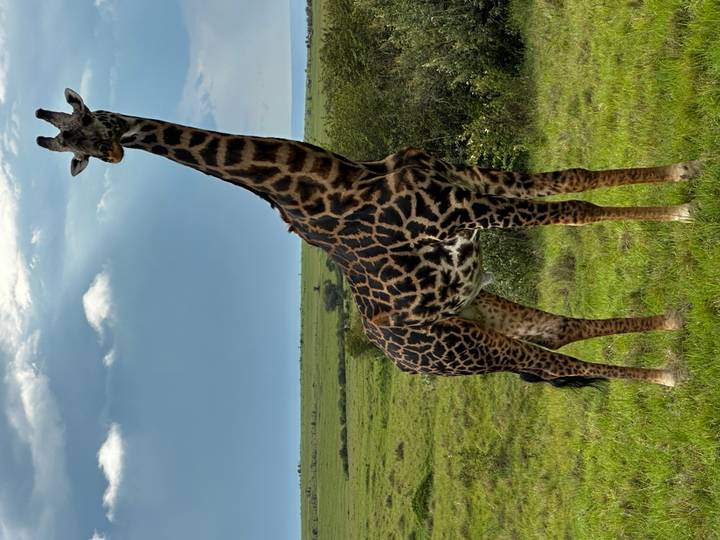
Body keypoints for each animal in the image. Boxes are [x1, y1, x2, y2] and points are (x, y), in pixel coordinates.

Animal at [37, 88, 703, 387]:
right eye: (74, 148)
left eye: (90, 126)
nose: (110, 155)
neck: (340, 180)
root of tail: (402, 356)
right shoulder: (465, 211)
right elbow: (577, 209)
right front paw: (683, 209)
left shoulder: (468, 186)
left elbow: (574, 182)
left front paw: (682, 176)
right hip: (464, 346)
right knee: (551, 358)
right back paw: (666, 375)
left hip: (476, 308)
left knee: (559, 332)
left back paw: (670, 327)